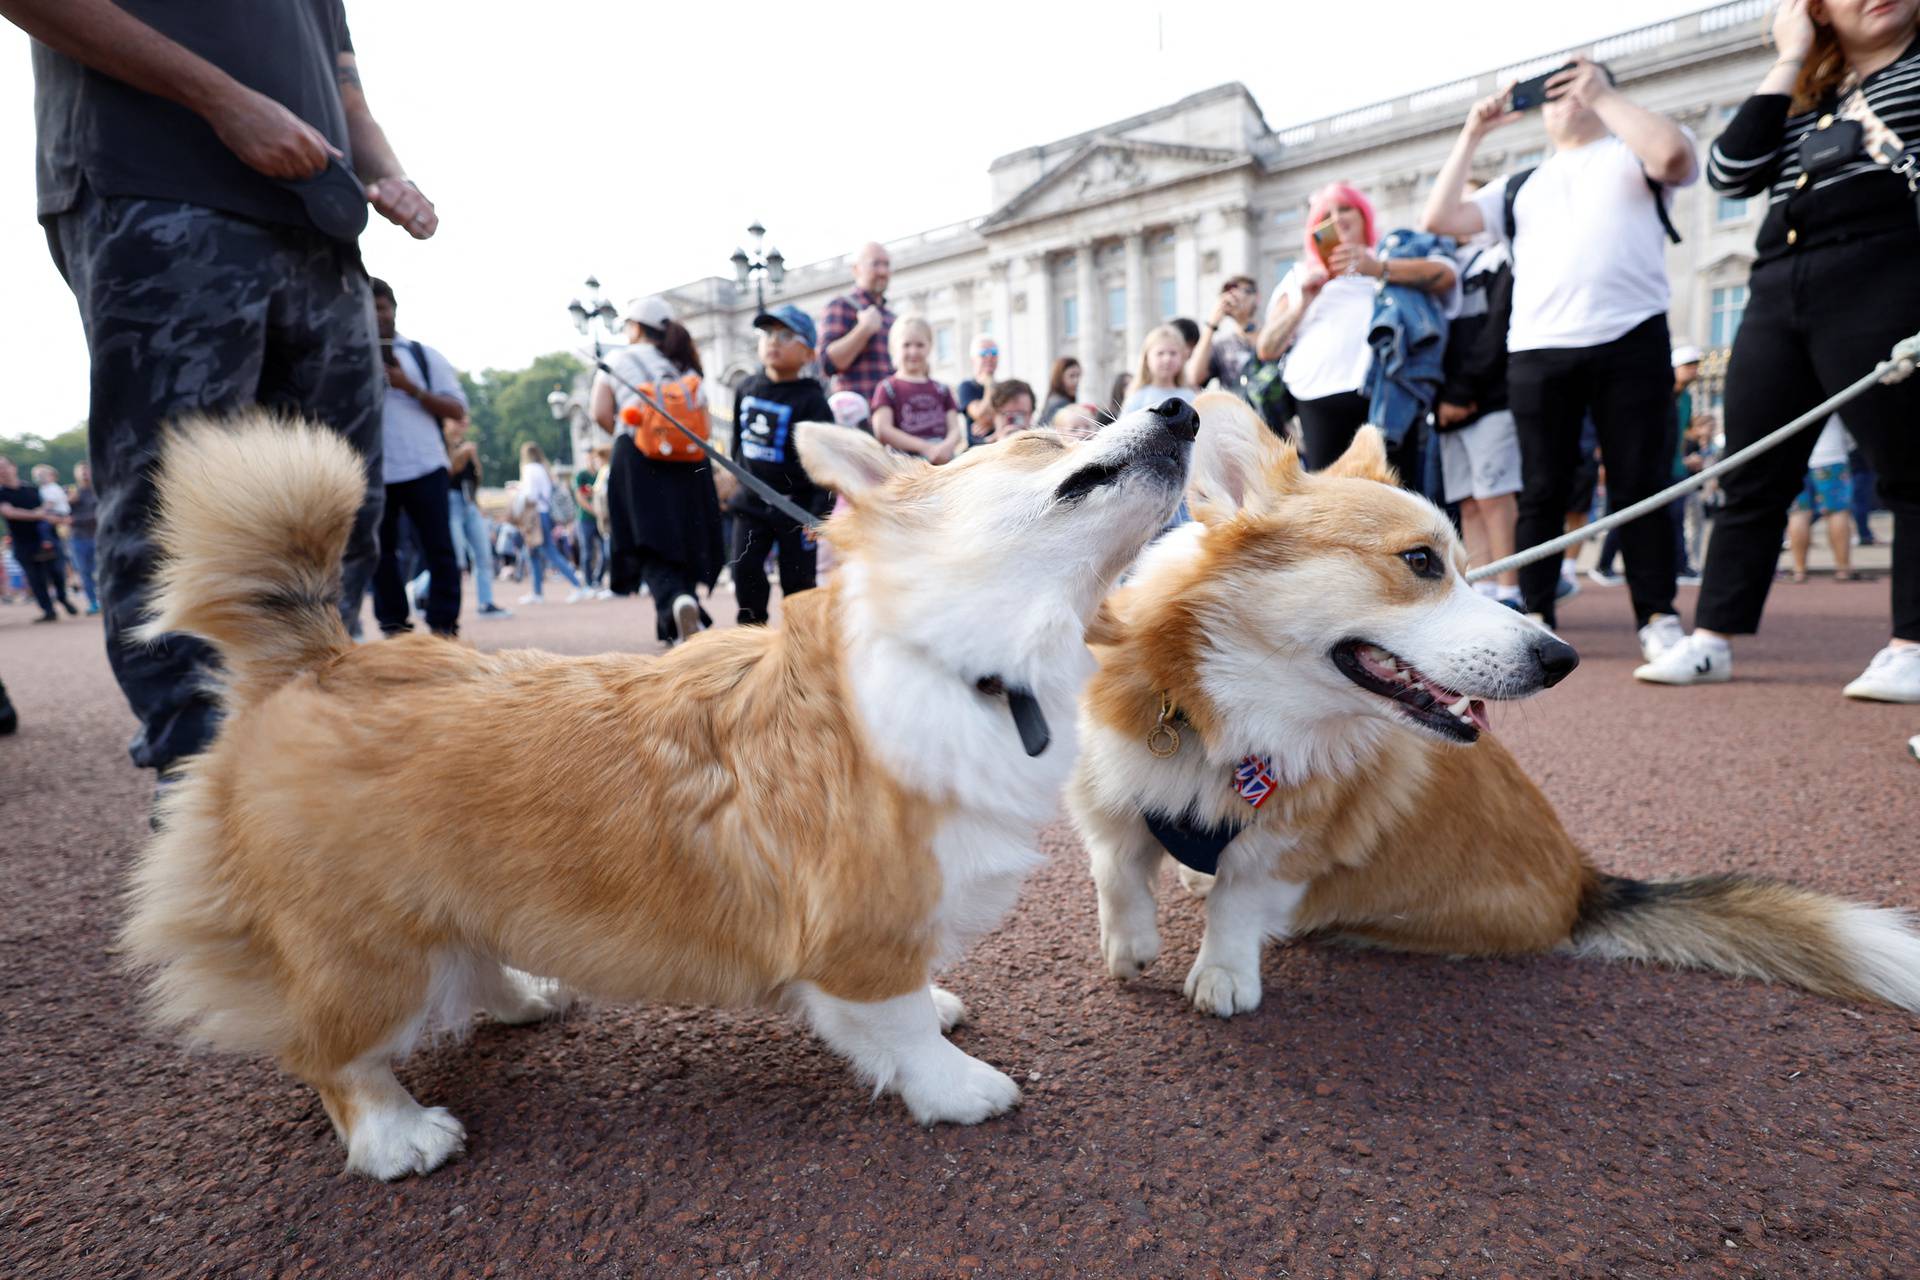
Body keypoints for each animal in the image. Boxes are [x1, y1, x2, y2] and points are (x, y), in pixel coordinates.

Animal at [127, 401, 1190, 1182]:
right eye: (1047, 434)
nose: (1179, 406)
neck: (960, 661)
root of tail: (313, 660)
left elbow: (909, 1001)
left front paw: (940, 1007)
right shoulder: (862, 928)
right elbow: (896, 1025)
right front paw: (960, 1088)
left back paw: (524, 1000)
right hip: (367, 954)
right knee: (332, 1054)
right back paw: (399, 1136)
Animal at [1067, 393, 1920, 1020]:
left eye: (1466, 567)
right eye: (1421, 561)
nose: (1561, 660)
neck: (1234, 717)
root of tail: (1586, 885)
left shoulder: (1292, 845)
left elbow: (1241, 900)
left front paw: (1221, 976)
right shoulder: (1108, 784)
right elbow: (1117, 867)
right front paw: (1131, 947)